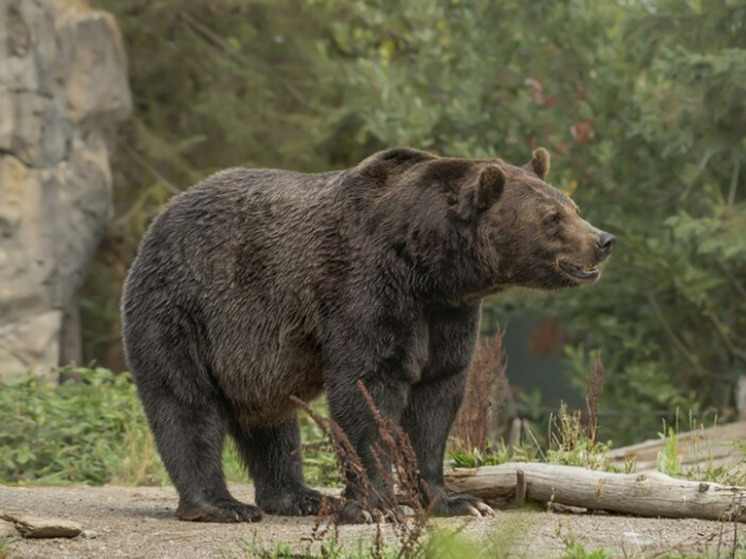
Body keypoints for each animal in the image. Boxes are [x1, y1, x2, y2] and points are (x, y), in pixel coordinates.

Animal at [120, 148, 612, 524]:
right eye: (552, 217)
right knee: (185, 403)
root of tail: (159, 219)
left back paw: (300, 496)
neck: (429, 267)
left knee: (273, 422)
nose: (603, 239)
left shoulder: (447, 314)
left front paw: (456, 501)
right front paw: (377, 505)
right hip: (183, 309)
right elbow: (368, 389)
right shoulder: (366, 287)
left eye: (573, 206)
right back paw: (221, 506)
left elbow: (437, 397)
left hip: (253, 356)